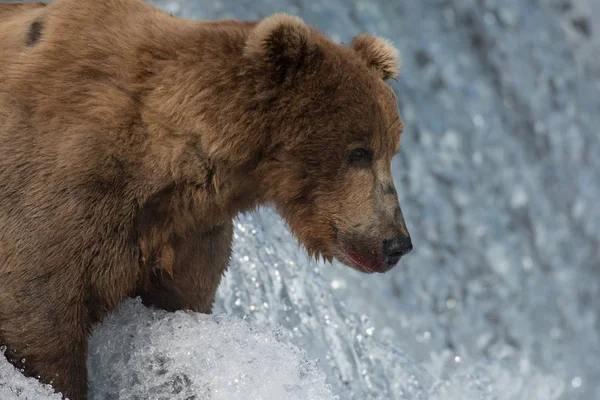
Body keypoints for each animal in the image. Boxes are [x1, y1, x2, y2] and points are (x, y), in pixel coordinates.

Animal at [0, 0, 412, 400]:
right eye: (359, 152)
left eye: (391, 151)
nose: (397, 243)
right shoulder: (69, 189)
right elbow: (41, 317)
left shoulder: (186, 238)